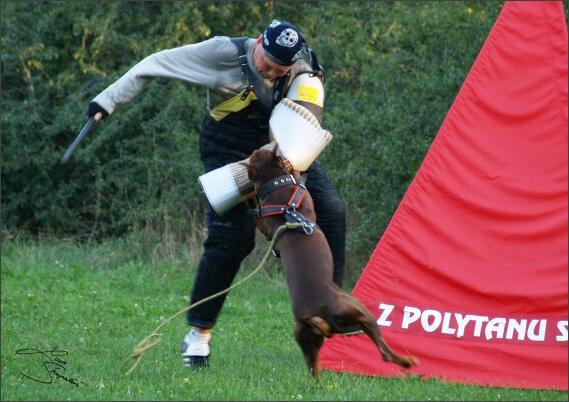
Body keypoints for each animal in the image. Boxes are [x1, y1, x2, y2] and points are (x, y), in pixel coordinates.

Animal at [240, 146, 418, 378]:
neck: (277, 184)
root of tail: (313, 315)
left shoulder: (266, 228)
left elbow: (254, 211)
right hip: (360, 311)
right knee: (385, 352)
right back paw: (408, 361)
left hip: (306, 340)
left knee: (314, 368)